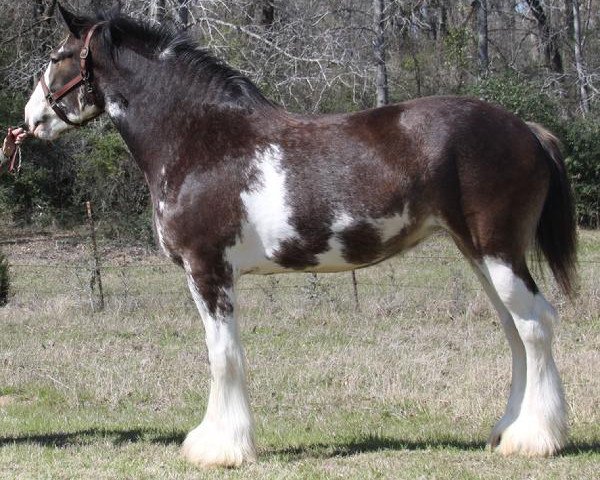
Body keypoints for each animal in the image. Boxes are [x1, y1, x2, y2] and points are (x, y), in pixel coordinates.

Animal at [23, 3, 576, 468]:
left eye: (56, 57)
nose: (30, 119)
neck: (200, 139)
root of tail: (527, 130)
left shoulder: (208, 270)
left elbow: (223, 356)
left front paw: (220, 448)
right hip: (479, 254)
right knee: (515, 331)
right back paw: (508, 430)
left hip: (498, 252)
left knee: (535, 325)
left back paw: (534, 439)